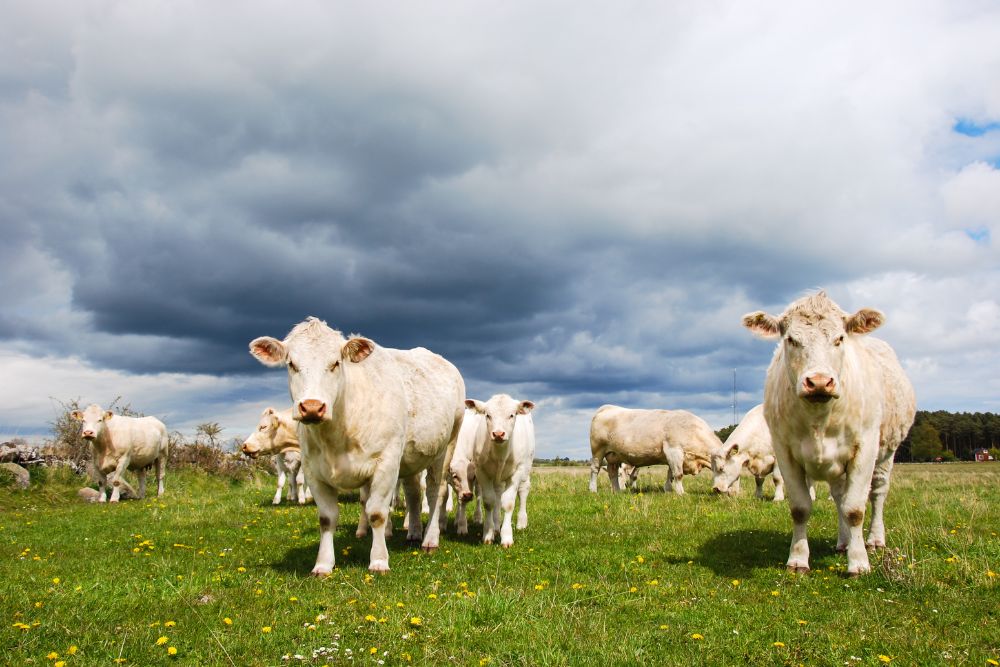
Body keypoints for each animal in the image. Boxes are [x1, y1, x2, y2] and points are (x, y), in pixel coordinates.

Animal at [249, 317, 465, 574]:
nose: (312, 407)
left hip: (445, 447)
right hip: (412, 457)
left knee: (435, 493)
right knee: (414, 493)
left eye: (336, 363)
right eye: (291, 364)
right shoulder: (313, 470)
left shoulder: (386, 463)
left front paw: (379, 560)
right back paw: (413, 532)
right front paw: (323, 564)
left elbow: (377, 513)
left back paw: (430, 539)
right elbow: (327, 518)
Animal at [457, 395, 535, 547]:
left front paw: (507, 537)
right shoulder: (481, 471)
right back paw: (496, 525)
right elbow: (489, 501)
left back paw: (521, 522)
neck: (500, 454)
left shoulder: (516, 473)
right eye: (488, 415)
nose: (498, 434)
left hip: (526, 468)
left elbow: (509, 503)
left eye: (512, 415)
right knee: (498, 495)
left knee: (523, 491)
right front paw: (489, 533)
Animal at [588, 405, 720, 494]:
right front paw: (681, 493)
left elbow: (670, 474)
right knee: (595, 469)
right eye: (722, 469)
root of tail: (607, 407)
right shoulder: (674, 451)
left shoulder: (673, 457)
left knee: (613, 472)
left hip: (613, 455)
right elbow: (678, 474)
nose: (719, 490)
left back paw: (617, 491)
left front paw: (668, 490)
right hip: (598, 450)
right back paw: (593, 490)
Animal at [743, 291, 916, 575]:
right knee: (839, 497)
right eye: (791, 339)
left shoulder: (865, 449)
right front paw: (798, 559)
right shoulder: (784, 451)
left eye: (840, 338)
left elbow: (855, 509)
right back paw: (844, 542)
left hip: (886, 452)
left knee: (877, 493)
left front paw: (858, 563)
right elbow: (801, 508)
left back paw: (874, 540)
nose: (819, 382)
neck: (818, 418)